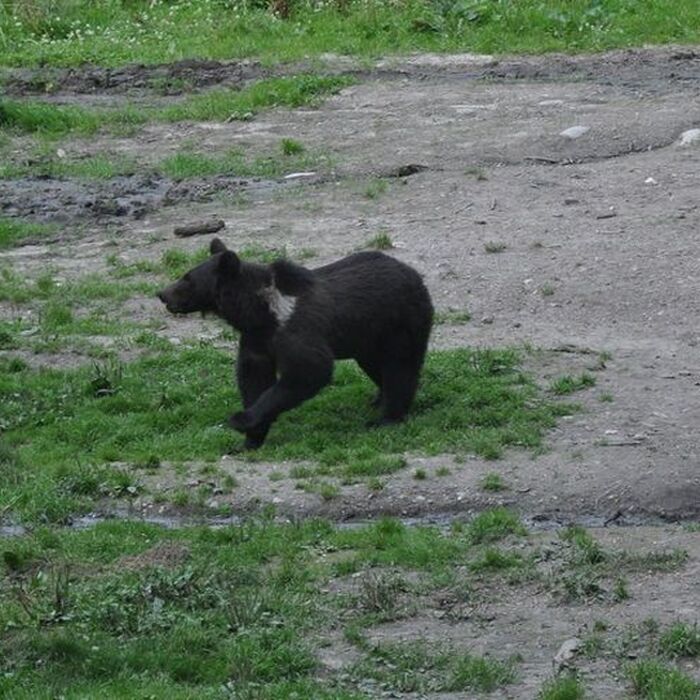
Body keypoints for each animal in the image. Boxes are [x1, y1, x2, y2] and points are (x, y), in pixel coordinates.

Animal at [158, 239, 432, 448]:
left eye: (187, 278)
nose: (162, 294)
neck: (261, 312)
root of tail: (413, 273)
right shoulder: (257, 338)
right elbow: (253, 376)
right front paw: (251, 438)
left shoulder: (295, 330)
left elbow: (308, 370)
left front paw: (241, 420)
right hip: (368, 335)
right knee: (376, 364)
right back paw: (378, 397)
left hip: (399, 323)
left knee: (400, 366)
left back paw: (387, 417)